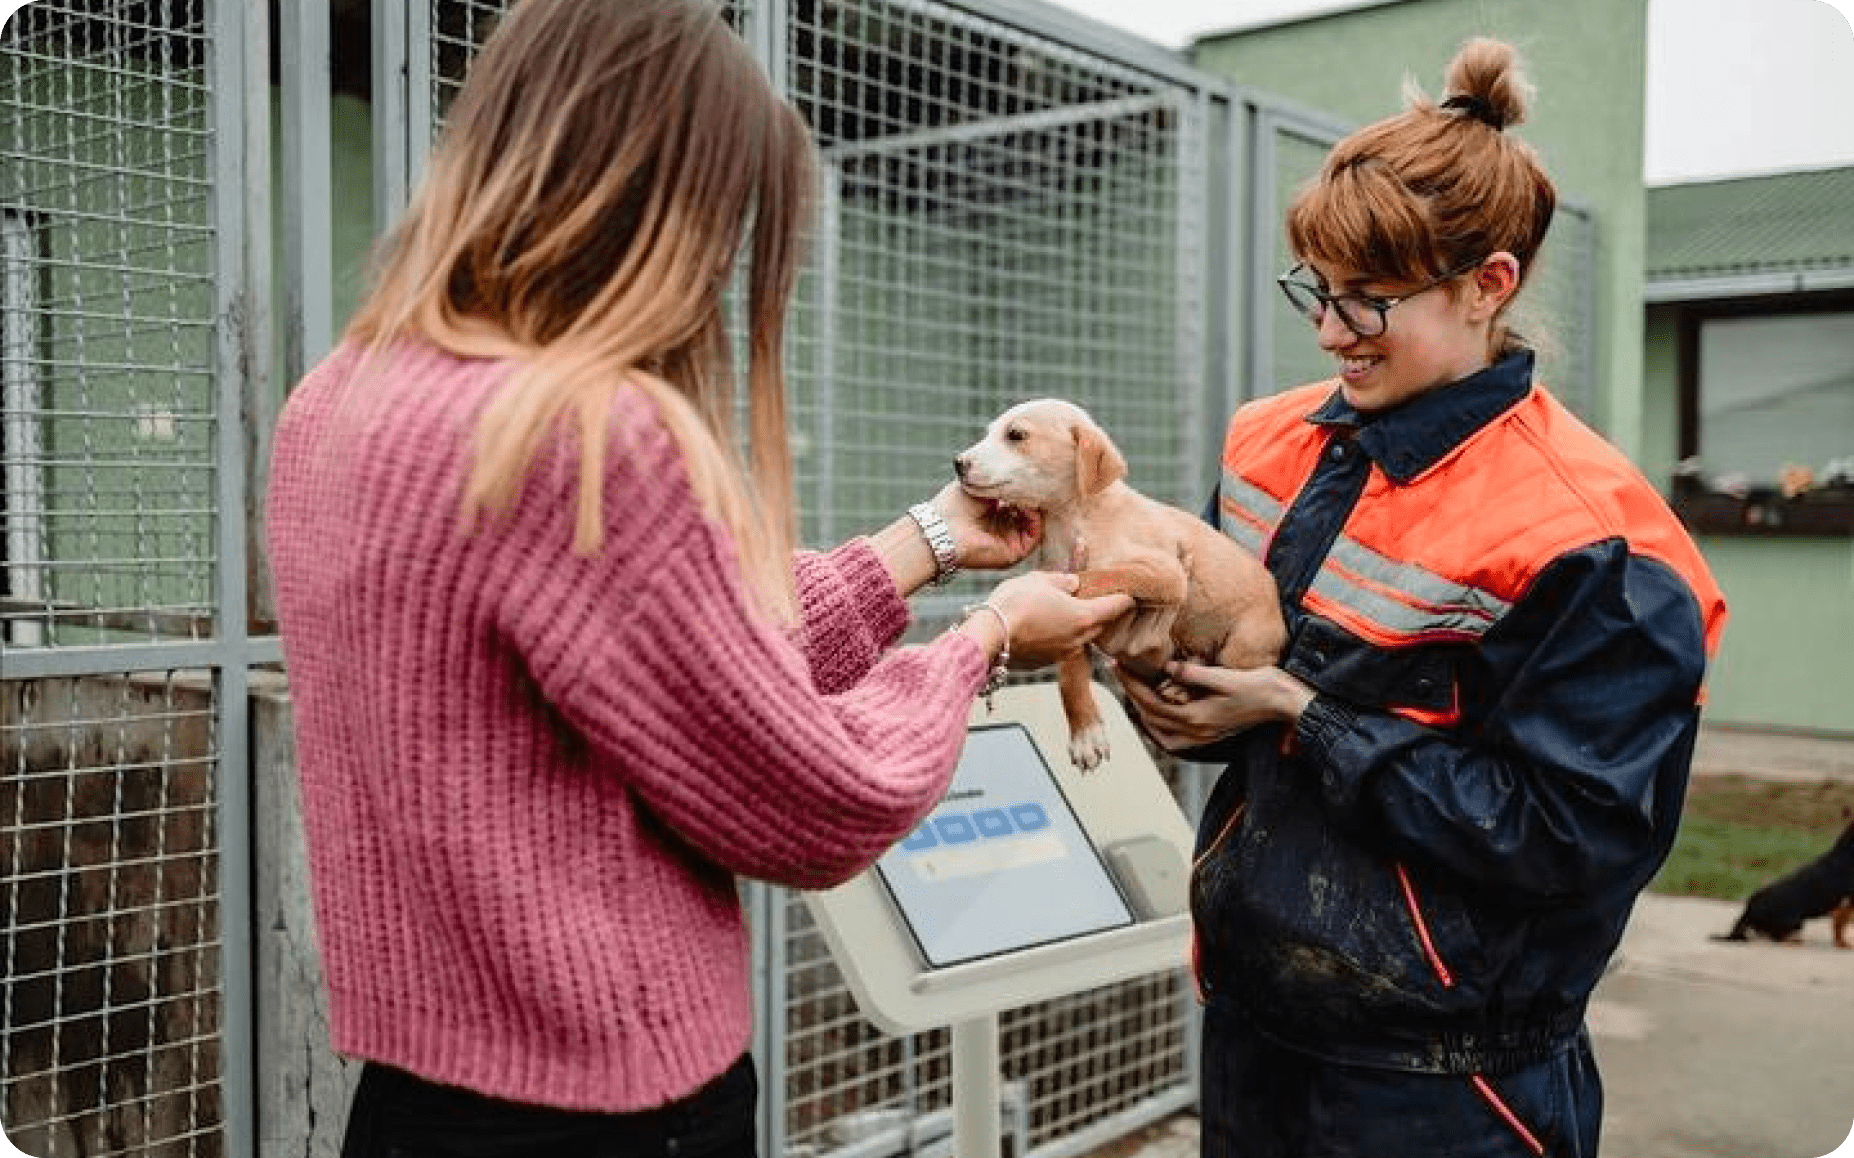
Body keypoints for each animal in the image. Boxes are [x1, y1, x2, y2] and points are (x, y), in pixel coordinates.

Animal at [956, 396, 1290, 767]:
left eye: (1016, 435)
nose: (958, 463)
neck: (1071, 518)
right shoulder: (1073, 629)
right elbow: (1070, 672)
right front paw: (1085, 732)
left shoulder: (1166, 572)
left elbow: (1095, 577)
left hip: (1244, 646)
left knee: (1220, 673)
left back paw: (1184, 687)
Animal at [1705, 811, 1854, 948]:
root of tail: (1749, 908)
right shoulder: (1848, 903)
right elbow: (1840, 925)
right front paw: (1843, 944)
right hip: (1795, 922)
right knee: (1777, 938)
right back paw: (1795, 942)